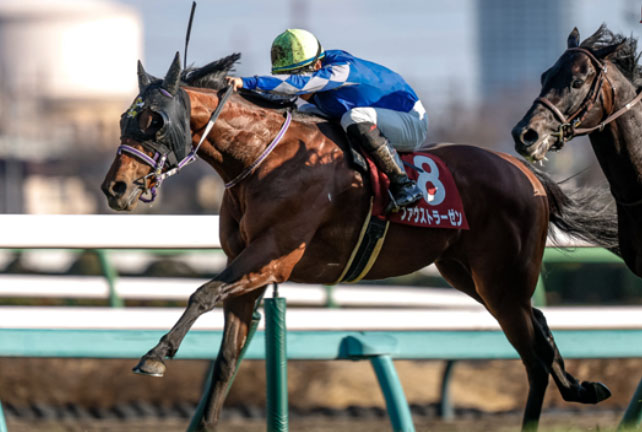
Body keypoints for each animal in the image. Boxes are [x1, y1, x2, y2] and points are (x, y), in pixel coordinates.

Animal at [102, 52, 618, 431]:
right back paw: (581, 387)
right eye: (126, 118)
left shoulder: (272, 258)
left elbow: (202, 292)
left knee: (533, 356)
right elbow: (226, 360)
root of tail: (525, 172)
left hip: (501, 279)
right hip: (472, 276)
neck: (262, 156)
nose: (115, 188)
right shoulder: (248, 271)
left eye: (154, 120)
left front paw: (155, 356)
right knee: (540, 328)